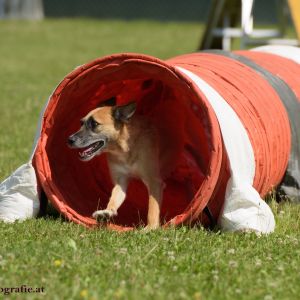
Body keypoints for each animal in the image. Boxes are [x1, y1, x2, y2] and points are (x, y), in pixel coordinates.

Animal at [68, 98, 164, 230]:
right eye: (81, 123)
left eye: (94, 124)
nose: (69, 140)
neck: (123, 149)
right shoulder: (121, 180)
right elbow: (114, 198)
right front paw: (107, 212)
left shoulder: (154, 181)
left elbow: (153, 206)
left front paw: (151, 227)